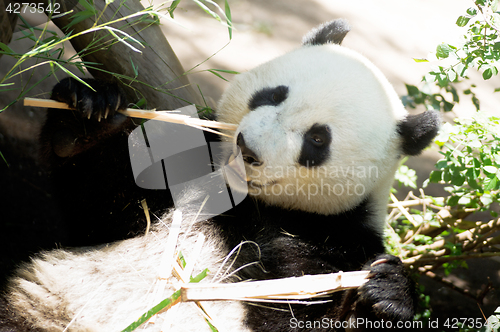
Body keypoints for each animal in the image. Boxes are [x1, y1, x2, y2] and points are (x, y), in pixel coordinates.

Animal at [0, 19, 438, 330]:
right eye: (273, 94)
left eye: (317, 139)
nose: (248, 148)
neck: (247, 202)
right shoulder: (187, 170)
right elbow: (102, 212)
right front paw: (88, 112)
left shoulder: (336, 237)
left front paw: (386, 294)